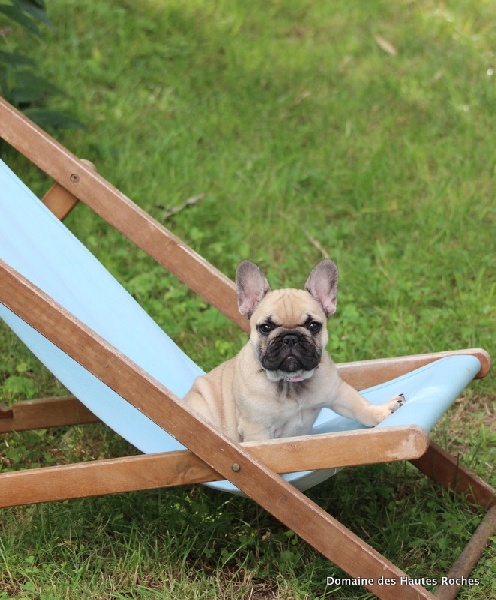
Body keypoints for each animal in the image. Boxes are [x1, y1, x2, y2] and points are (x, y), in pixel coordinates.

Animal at [182, 260, 404, 442]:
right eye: (265, 327)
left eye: (313, 325)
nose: (290, 338)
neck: (290, 383)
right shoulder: (257, 431)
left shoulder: (338, 392)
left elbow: (359, 406)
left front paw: (382, 411)